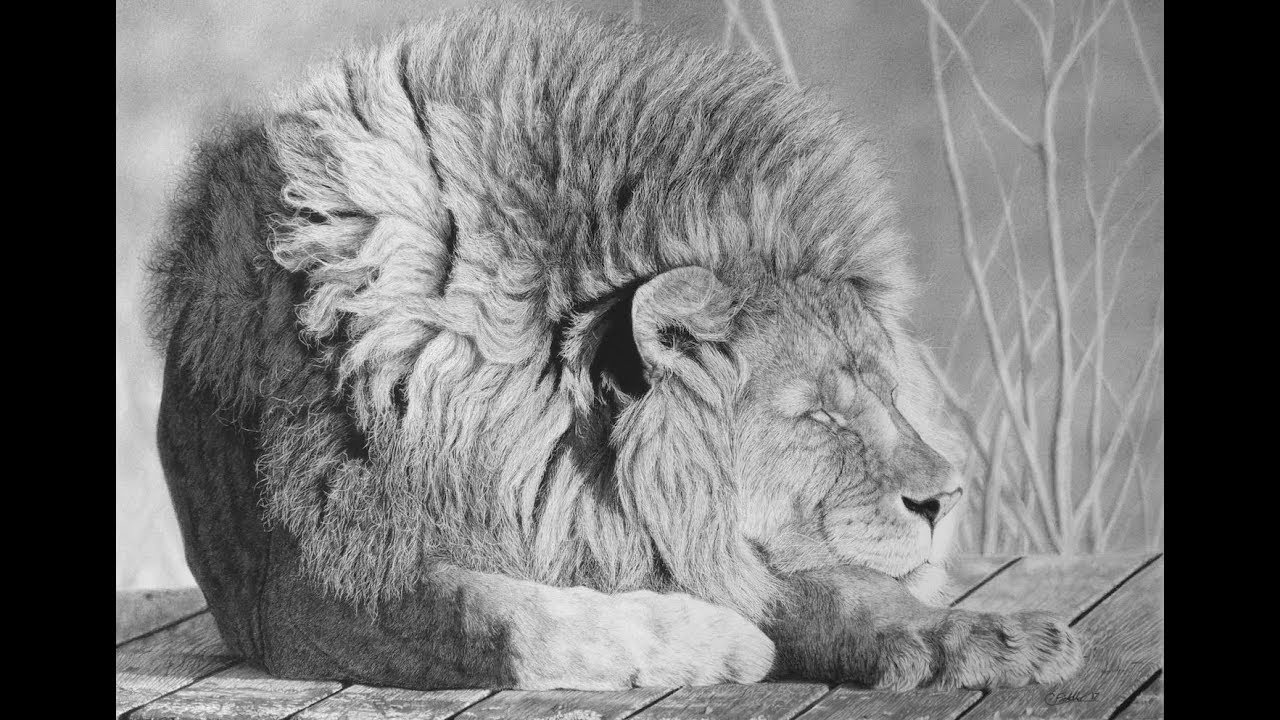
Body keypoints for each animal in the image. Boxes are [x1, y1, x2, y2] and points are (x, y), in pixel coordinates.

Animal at [147, 4, 1082, 691]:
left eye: (888, 397)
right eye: (818, 417)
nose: (947, 500)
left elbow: (837, 591)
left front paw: (995, 637)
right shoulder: (316, 586)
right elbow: (503, 619)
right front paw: (723, 643)